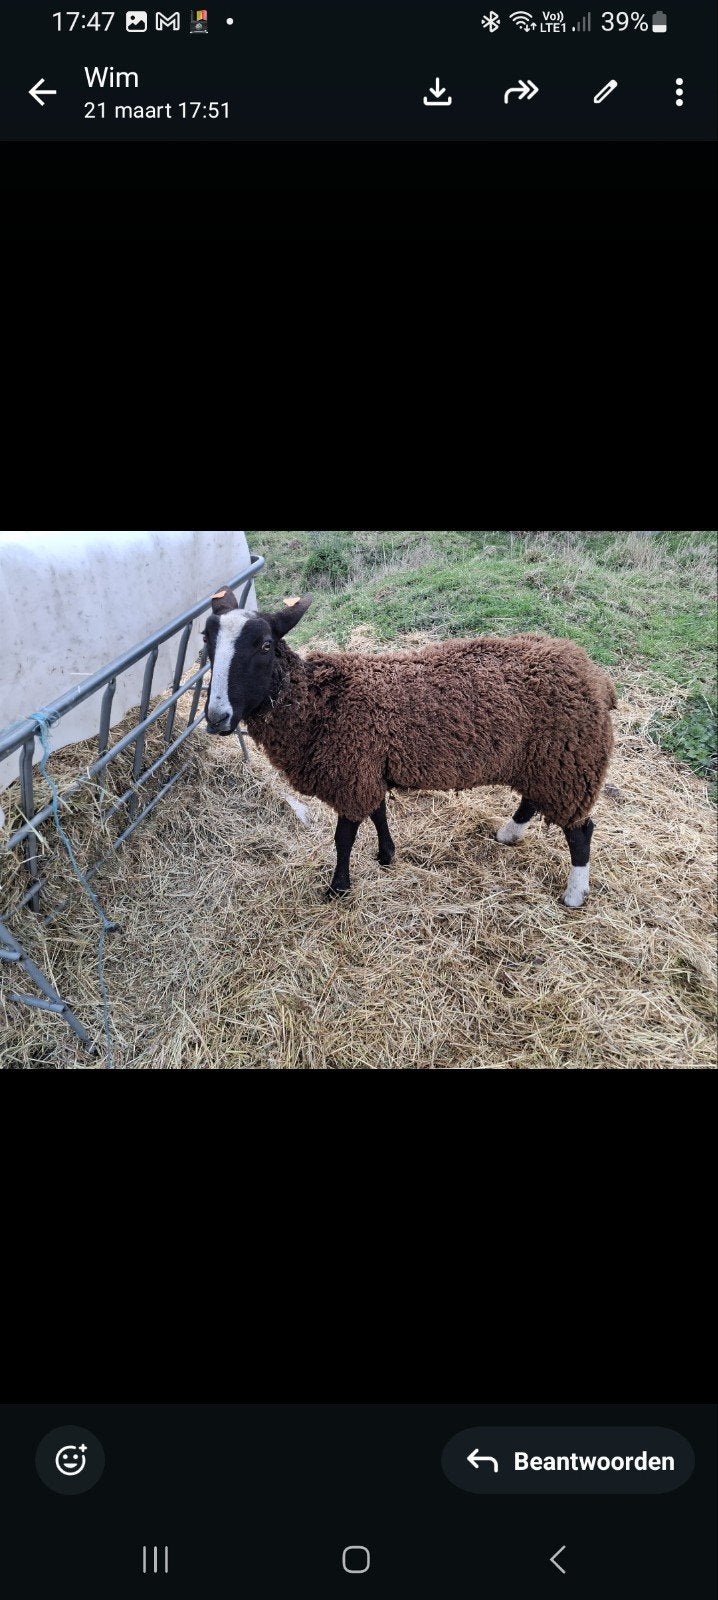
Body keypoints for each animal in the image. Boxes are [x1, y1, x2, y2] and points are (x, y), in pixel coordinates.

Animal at [203, 587, 617, 909]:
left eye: (265, 645)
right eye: (207, 642)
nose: (217, 717)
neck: (318, 704)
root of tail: (594, 675)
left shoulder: (351, 773)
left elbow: (343, 839)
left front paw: (338, 888)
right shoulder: (367, 767)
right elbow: (379, 813)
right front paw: (387, 855)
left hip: (569, 762)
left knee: (581, 831)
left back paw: (574, 895)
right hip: (545, 760)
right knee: (532, 800)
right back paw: (508, 835)